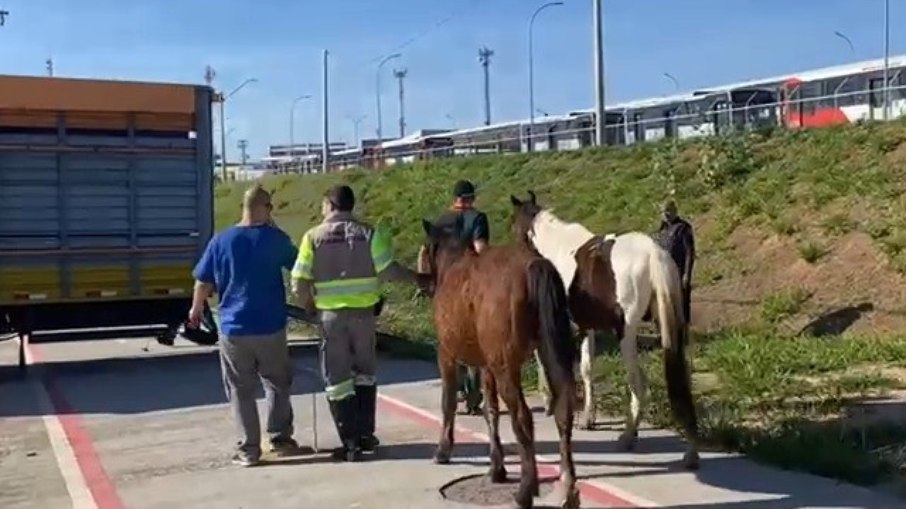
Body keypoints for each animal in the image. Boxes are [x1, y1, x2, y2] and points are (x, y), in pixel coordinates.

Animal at [418, 215, 580, 508]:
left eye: (425, 249)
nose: (424, 285)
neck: (454, 265)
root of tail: (534, 265)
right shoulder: (486, 365)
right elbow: (490, 410)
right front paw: (497, 467)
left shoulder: (447, 355)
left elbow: (448, 403)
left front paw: (443, 449)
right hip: (548, 353)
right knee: (564, 411)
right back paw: (568, 487)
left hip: (507, 367)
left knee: (523, 418)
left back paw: (525, 490)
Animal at [508, 190, 700, 468]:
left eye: (515, 225)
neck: (557, 246)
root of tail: (654, 254)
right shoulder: (587, 327)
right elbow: (587, 369)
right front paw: (589, 417)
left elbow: (553, 363)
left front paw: (550, 401)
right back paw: (690, 450)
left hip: (627, 332)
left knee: (637, 383)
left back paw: (629, 435)